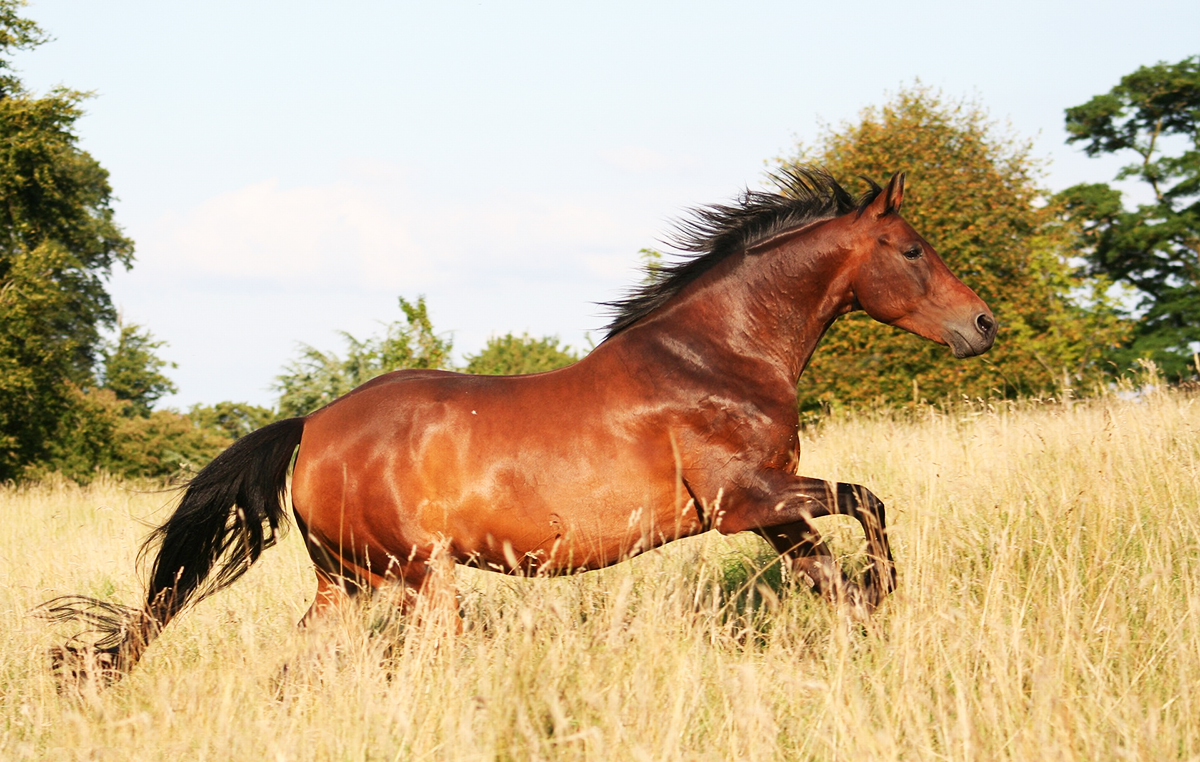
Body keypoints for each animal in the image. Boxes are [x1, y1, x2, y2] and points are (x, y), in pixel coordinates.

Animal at [39, 165, 993, 681]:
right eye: (913, 251)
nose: (982, 325)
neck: (717, 356)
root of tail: (310, 430)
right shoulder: (746, 502)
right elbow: (868, 502)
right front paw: (886, 593)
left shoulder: (774, 513)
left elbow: (833, 572)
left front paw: (869, 620)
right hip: (421, 577)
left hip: (347, 582)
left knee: (301, 664)